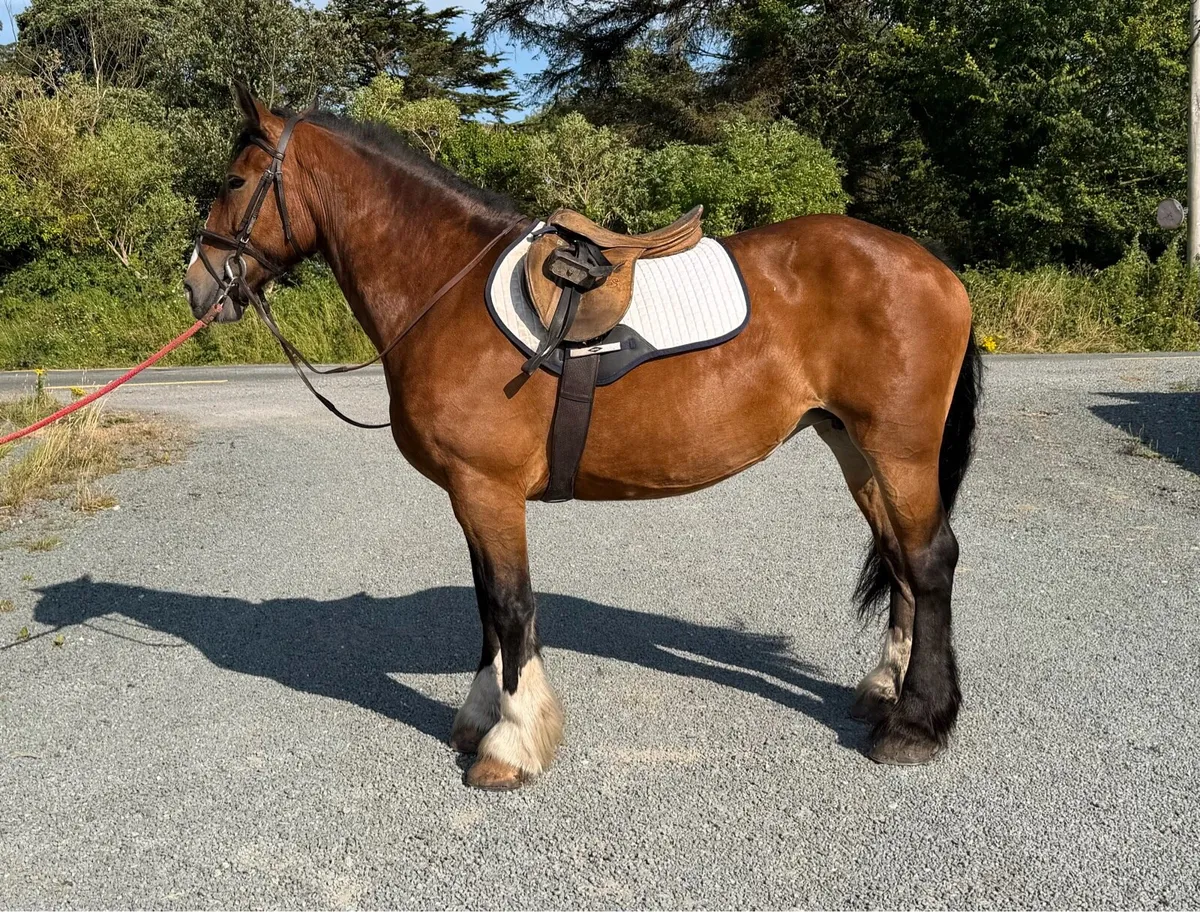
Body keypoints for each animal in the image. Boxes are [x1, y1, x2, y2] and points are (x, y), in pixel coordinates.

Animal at [184, 86, 982, 790]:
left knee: (930, 560)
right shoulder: (473, 494)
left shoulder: (487, 489)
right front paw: (481, 718)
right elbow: (488, 607)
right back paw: (884, 689)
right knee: (899, 559)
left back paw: (916, 724)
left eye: (234, 180)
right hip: (856, 449)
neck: (443, 289)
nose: (198, 286)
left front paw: (511, 746)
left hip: (900, 452)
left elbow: (511, 606)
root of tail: (936, 270)